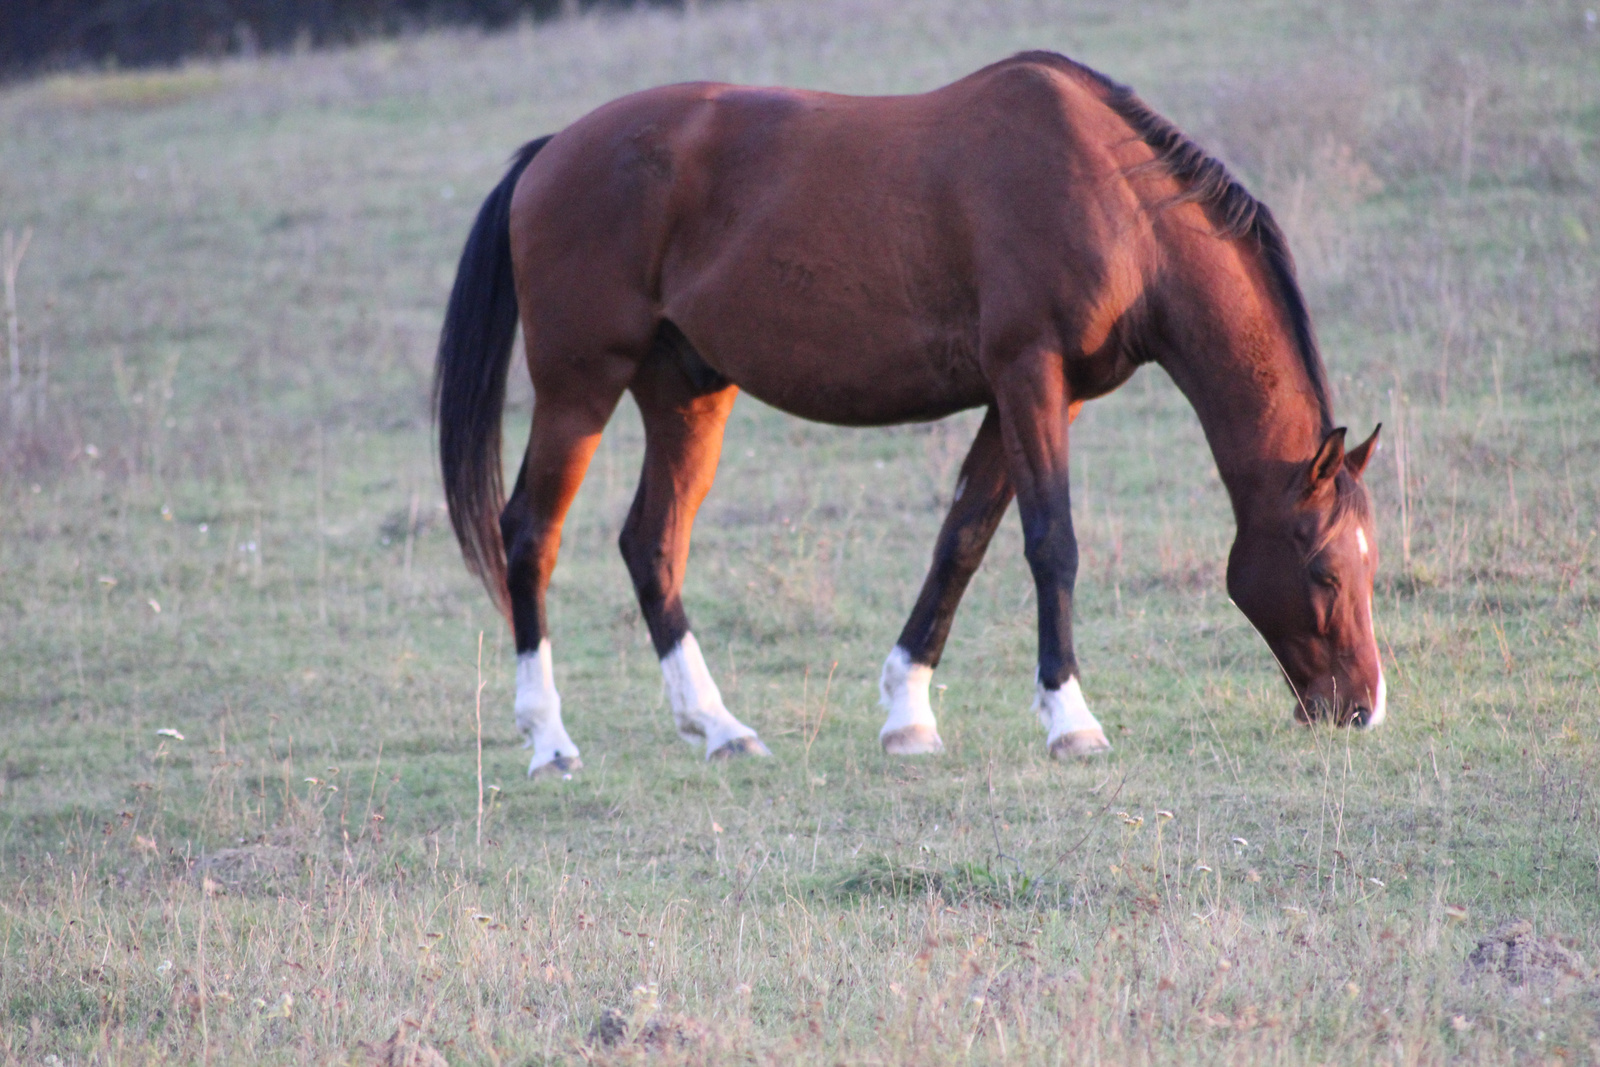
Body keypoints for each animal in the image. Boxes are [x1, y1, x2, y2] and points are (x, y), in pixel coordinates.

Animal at [435, 51, 1388, 777]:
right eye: (1325, 571)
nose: (1363, 708)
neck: (1113, 199)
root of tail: (551, 152)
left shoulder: (1036, 397)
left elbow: (962, 541)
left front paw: (908, 714)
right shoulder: (1029, 374)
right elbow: (1052, 543)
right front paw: (1071, 719)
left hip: (686, 392)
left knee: (652, 542)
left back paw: (720, 727)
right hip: (579, 388)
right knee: (531, 534)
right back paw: (550, 740)